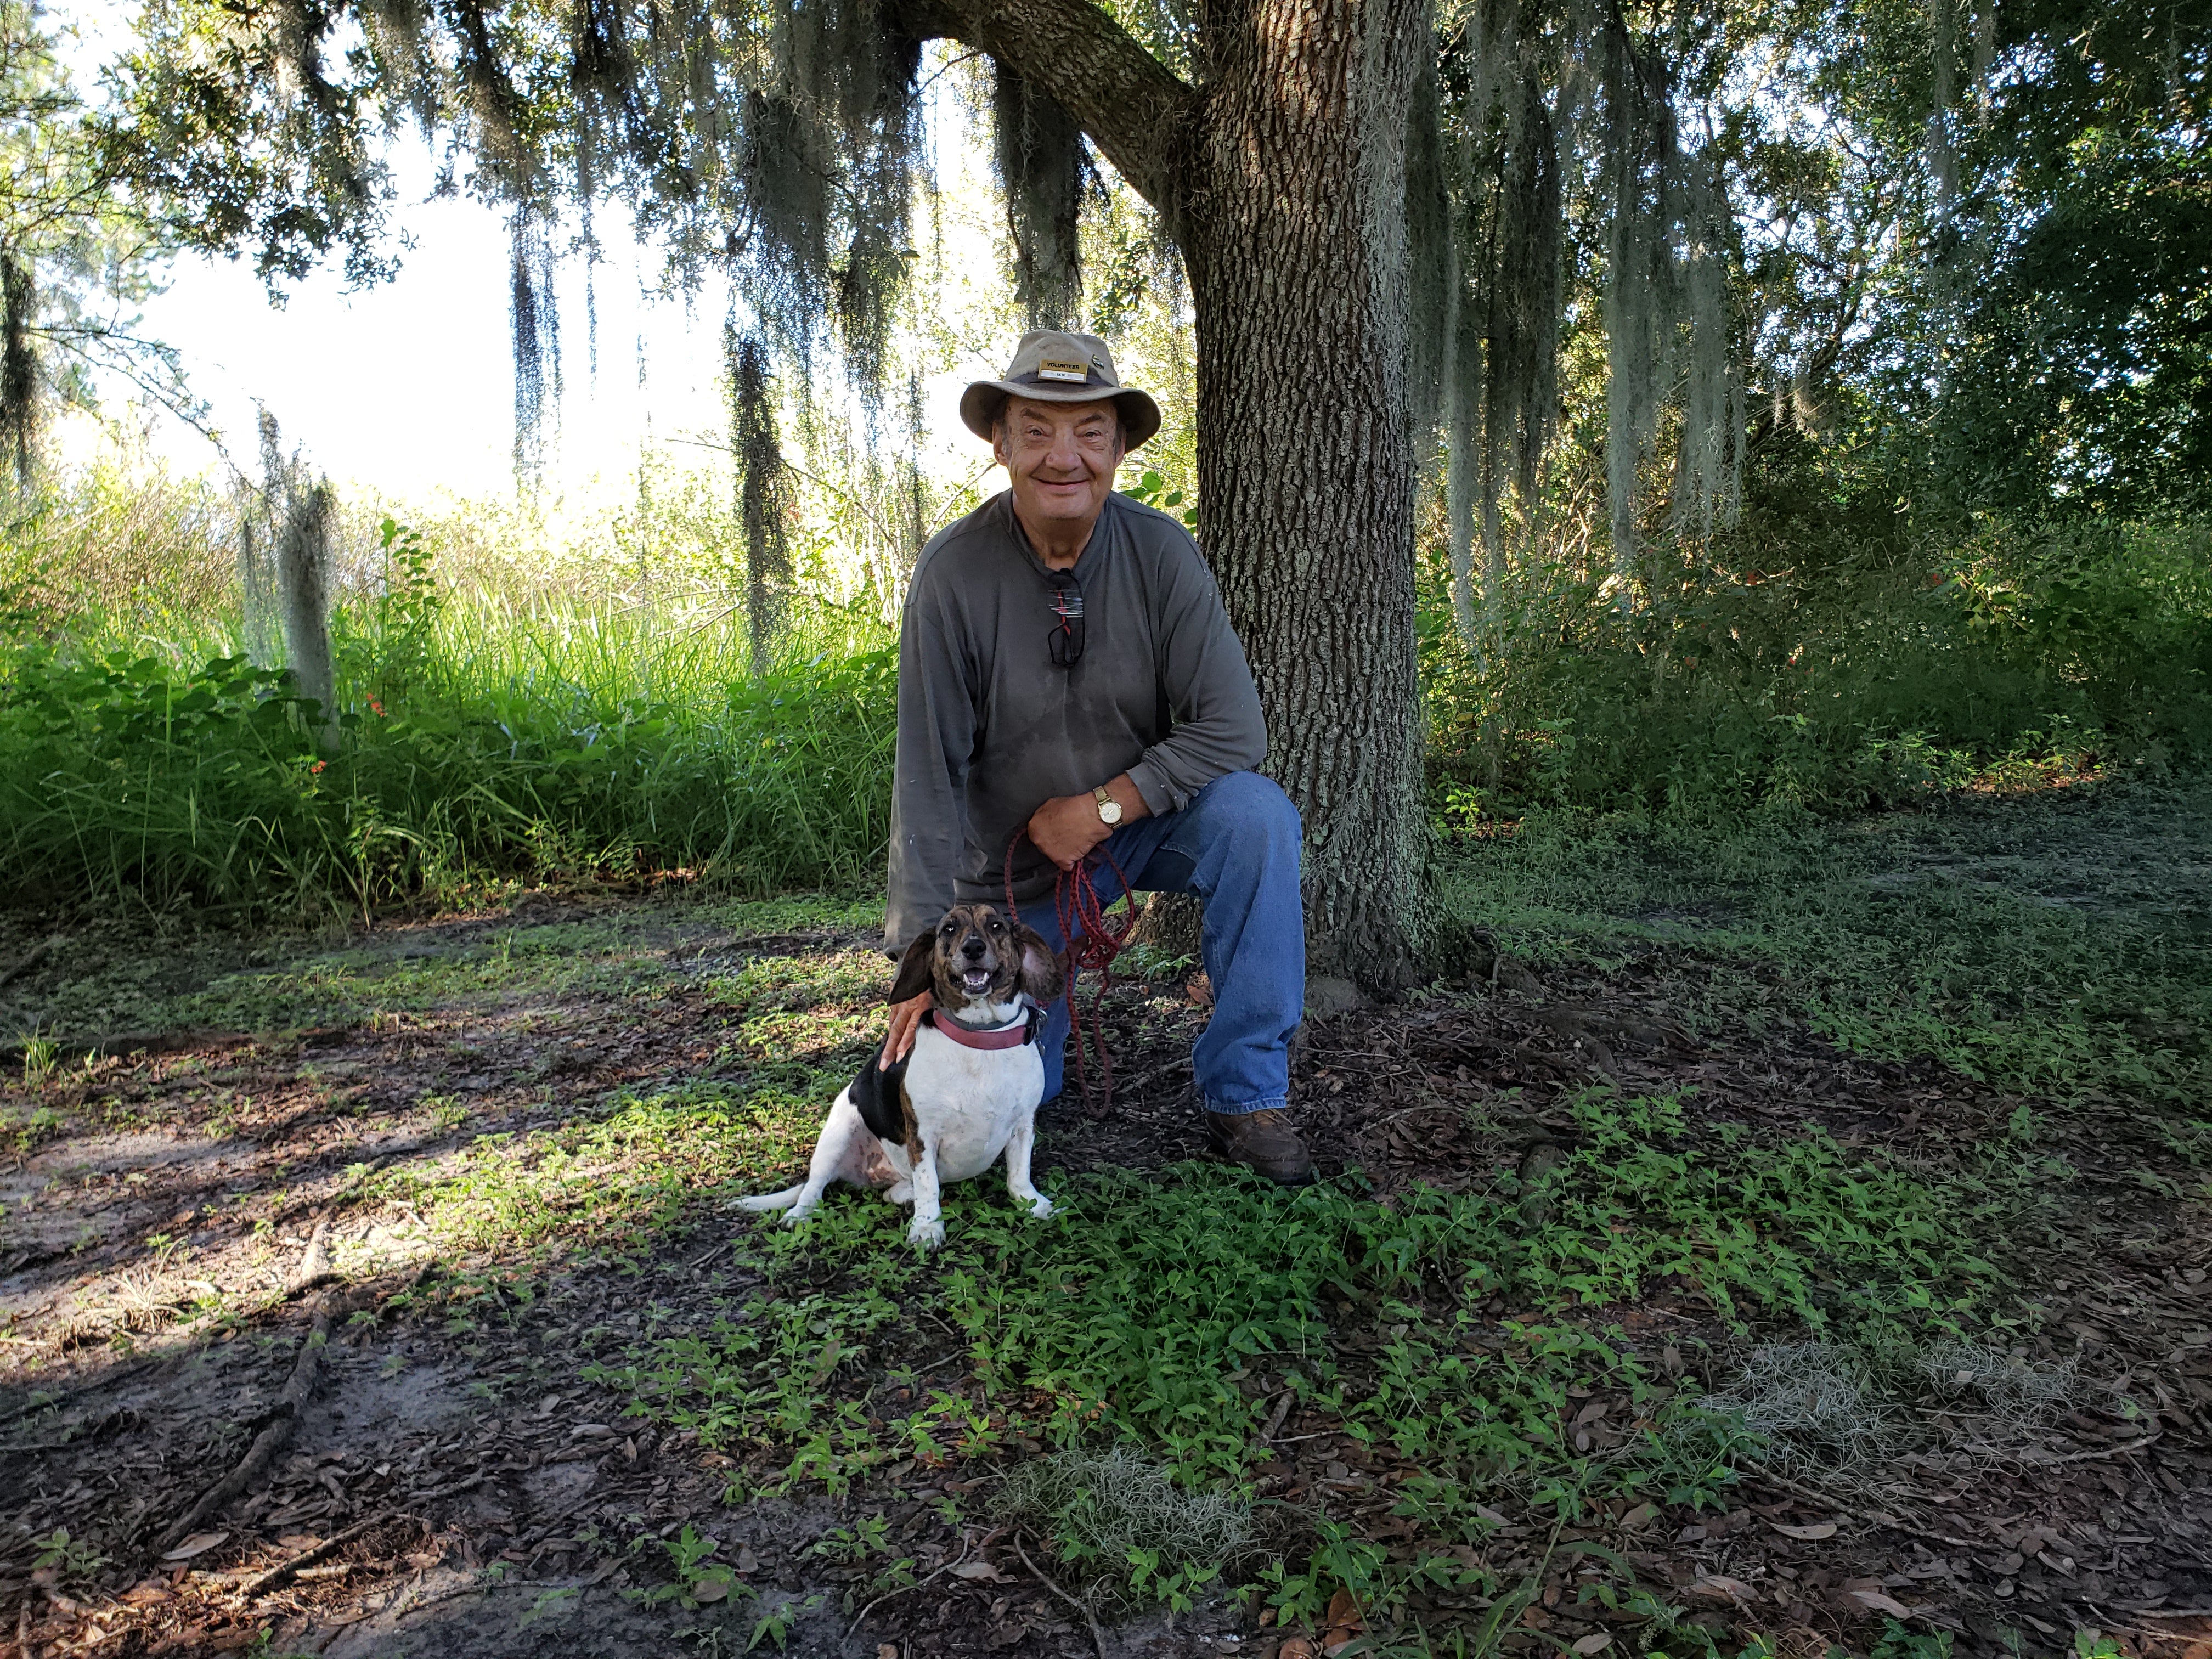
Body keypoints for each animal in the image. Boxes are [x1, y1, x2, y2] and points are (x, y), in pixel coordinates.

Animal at [730, 911, 1066, 1248]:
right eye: (949, 929)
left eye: (996, 926)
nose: (973, 948)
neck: (980, 1037)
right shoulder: (922, 1135)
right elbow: (929, 1184)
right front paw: (928, 1226)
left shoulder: (1023, 1125)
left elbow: (1019, 1177)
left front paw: (1035, 1205)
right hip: (837, 1137)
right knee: (814, 1189)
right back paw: (799, 1215)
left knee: (894, 1191)